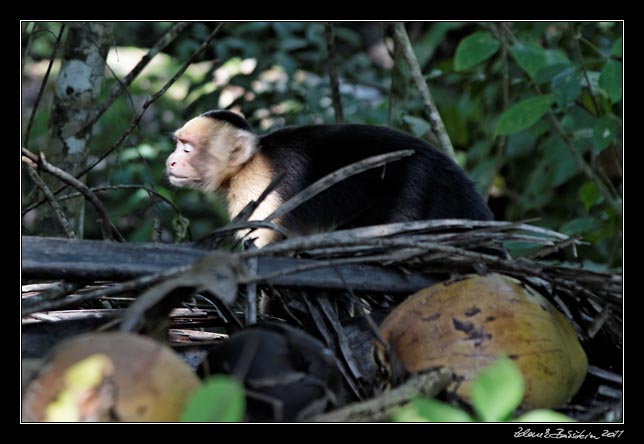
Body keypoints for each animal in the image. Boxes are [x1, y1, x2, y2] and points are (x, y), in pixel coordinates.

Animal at [165, 109, 494, 248]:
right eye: (178, 144)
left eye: (187, 148)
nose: (170, 161)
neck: (250, 162)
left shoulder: (259, 187)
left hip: (413, 188)